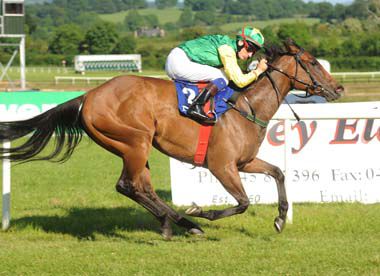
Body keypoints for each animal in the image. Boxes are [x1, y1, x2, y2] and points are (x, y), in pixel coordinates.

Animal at [0, 39, 344, 239]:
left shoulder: (244, 162)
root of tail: (88, 95)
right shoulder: (222, 165)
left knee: (141, 187)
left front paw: (281, 219)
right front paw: (202, 212)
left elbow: (279, 173)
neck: (247, 106)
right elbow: (243, 202)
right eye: (313, 62)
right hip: (135, 141)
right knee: (128, 186)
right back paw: (185, 222)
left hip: (131, 147)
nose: (338, 88)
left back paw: (173, 223)